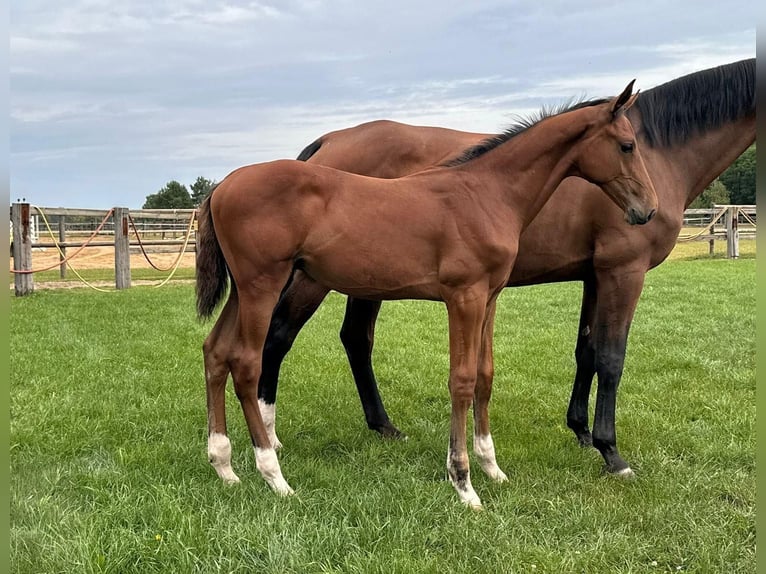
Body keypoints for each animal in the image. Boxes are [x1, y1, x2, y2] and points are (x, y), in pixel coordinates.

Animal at [197, 82, 657, 507]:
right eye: (627, 144)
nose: (648, 210)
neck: (487, 194)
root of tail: (222, 186)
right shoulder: (464, 297)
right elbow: (462, 380)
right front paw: (463, 481)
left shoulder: (490, 297)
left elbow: (485, 375)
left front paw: (492, 467)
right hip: (263, 285)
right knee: (246, 362)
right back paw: (273, 474)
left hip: (243, 291)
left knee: (216, 352)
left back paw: (224, 466)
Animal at [250, 58, 756, 478]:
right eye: (627, 146)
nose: (644, 211)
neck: (664, 151)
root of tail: (329, 142)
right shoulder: (622, 272)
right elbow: (612, 358)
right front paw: (612, 453)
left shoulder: (594, 276)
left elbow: (587, 351)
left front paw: (581, 432)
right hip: (315, 279)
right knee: (279, 336)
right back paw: (272, 439)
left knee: (354, 338)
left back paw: (382, 427)